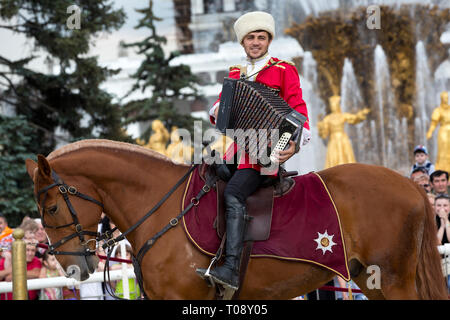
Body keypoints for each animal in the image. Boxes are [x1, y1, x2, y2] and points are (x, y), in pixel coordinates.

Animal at [26, 139, 448, 298]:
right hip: (369, 279)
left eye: (51, 208)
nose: (73, 268)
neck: (163, 209)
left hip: (393, 279)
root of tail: (410, 185)